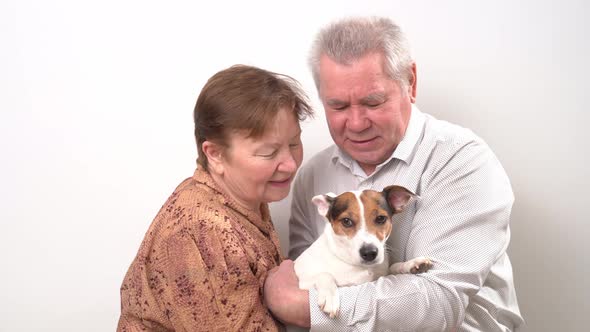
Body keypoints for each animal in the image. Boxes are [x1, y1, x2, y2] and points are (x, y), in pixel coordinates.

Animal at [294, 185, 432, 318]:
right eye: (346, 221)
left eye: (381, 218)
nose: (370, 253)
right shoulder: (303, 280)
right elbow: (324, 275)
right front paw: (330, 297)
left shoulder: (381, 274)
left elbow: (393, 267)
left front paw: (411, 264)